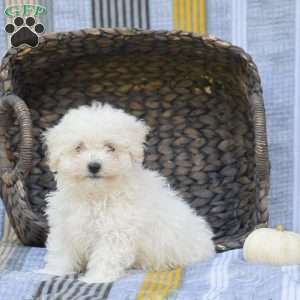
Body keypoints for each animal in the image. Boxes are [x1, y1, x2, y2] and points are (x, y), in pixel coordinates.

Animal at [41, 102, 216, 282]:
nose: (94, 166)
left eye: (110, 147)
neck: (95, 195)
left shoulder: (115, 232)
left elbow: (106, 257)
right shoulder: (64, 227)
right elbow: (61, 252)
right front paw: (54, 271)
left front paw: (96, 279)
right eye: (79, 147)